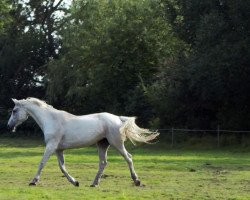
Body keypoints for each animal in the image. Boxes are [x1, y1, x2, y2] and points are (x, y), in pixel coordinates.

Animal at [6, 97, 159, 187]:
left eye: (14, 110)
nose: (9, 126)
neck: (51, 120)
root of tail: (118, 118)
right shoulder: (58, 149)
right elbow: (62, 167)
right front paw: (75, 182)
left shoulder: (51, 146)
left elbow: (42, 162)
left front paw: (33, 181)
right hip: (102, 144)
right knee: (103, 163)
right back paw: (94, 183)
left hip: (116, 143)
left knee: (129, 158)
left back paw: (136, 180)